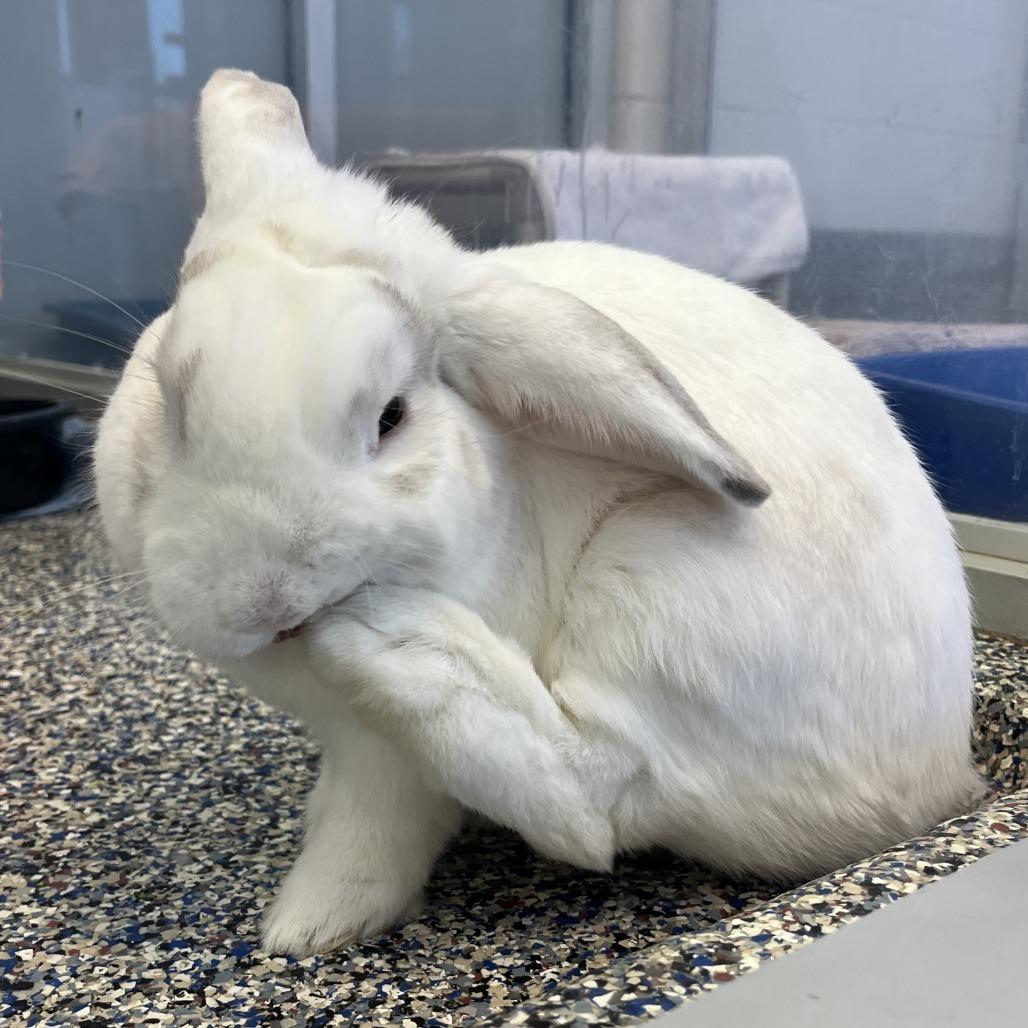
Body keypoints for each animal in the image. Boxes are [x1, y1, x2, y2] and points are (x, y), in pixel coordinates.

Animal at [93, 70, 981, 957]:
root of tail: (940, 781)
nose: (269, 602)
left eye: (392, 416)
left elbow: (372, 834)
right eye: (171, 399)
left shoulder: (387, 766)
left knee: (599, 801)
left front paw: (307, 927)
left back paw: (396, 641)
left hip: (661, 588)